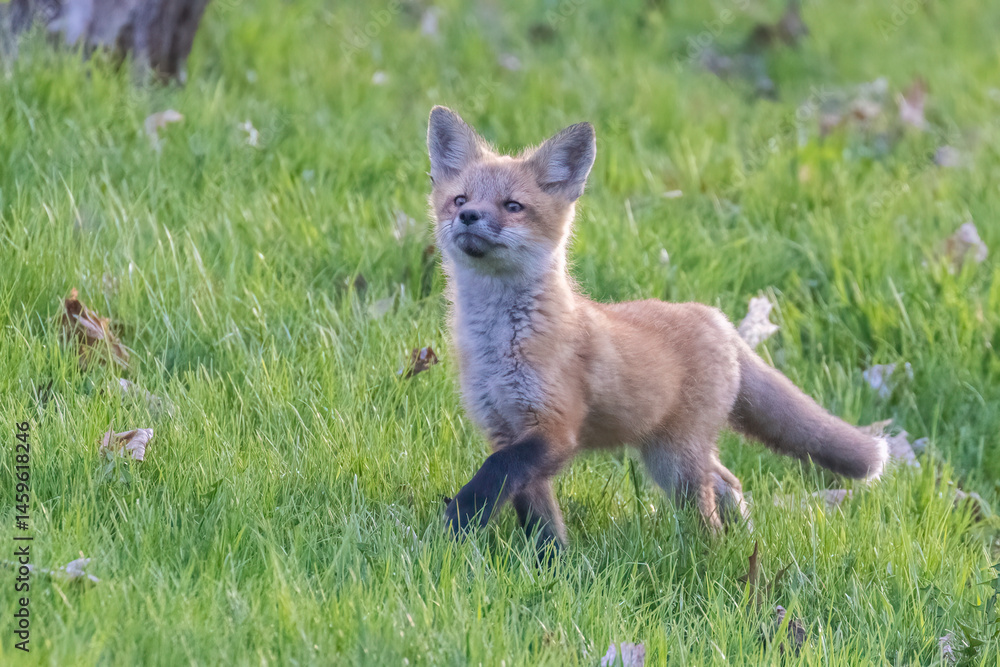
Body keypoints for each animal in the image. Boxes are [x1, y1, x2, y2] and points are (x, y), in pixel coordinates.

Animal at [427, 105, 888, 550]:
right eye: (459, 198)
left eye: (513, 206)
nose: (468, 216)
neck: (500, 344)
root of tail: (712, 317)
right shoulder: (504, 428)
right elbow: (537, 516)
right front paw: (548, 562)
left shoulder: (556, 429)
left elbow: (495, 473)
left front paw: (457, 522)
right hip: (671, 451)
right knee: (728, 481)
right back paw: (743, 541)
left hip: (673, 461)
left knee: (708, 510)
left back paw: (709, 558)